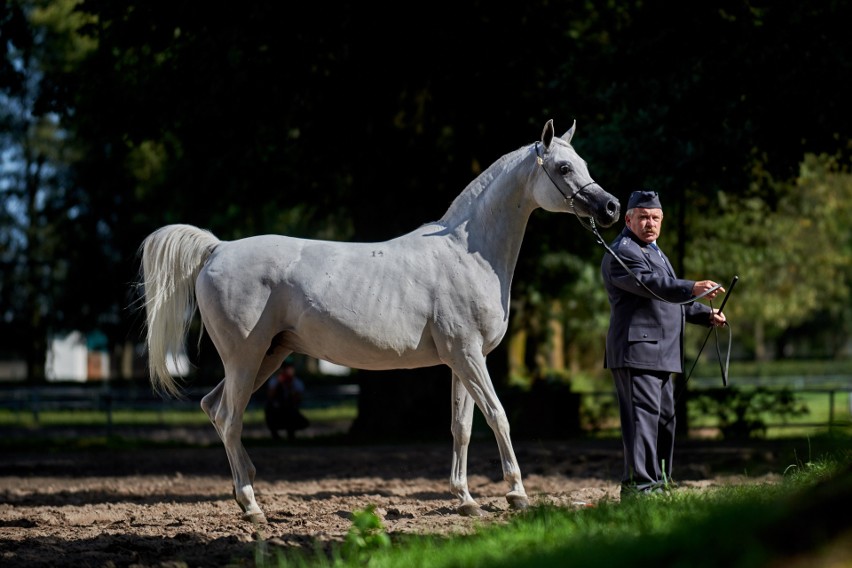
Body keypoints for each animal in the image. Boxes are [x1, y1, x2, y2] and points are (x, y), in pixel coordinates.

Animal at [140, 117, 620, 520]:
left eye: (583, 163)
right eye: (563, 168)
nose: (611, 208)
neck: (467, 253)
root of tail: (217, 249)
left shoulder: (462, 360)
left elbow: (462, 427)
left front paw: (465, 499)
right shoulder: (469, 356)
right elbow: (498, 416)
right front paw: (517, 494)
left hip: (268, 357)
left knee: (213, 408)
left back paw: (247, 493)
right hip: (245, 358)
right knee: (229, 416)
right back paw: (252, 505)